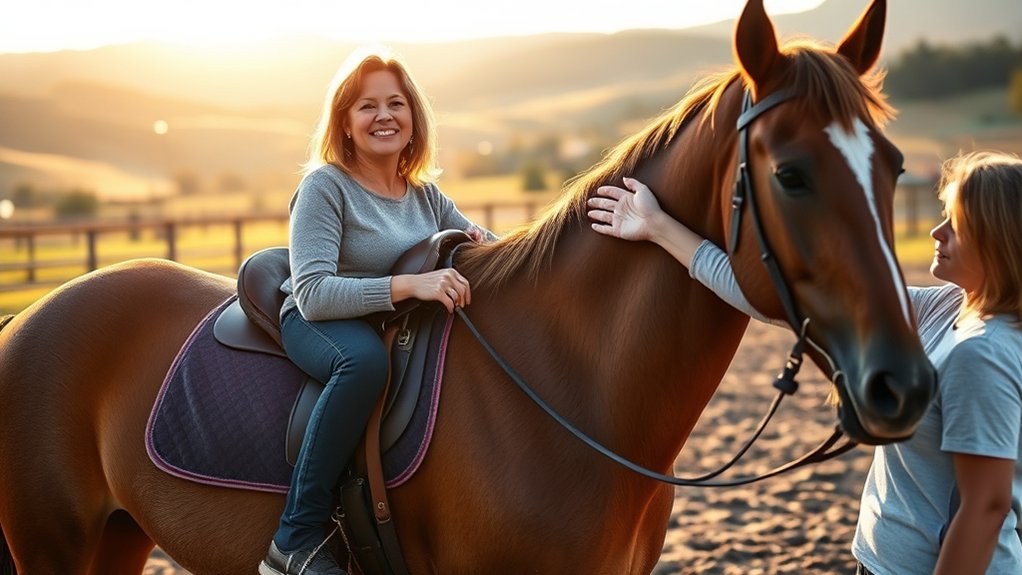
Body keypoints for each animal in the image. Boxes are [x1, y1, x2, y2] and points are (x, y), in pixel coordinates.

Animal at [0, 0, 935, 573]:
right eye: (791, 175)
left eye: (894, 166)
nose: (905, 384)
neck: (568, 388)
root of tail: (35, 316)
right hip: (53, 545)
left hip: (118, 536)